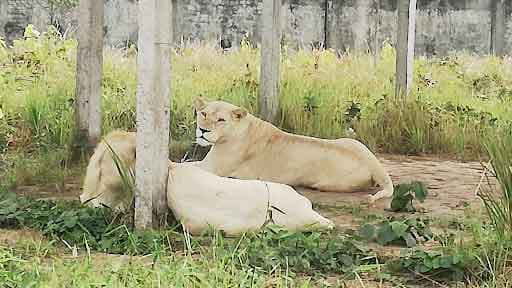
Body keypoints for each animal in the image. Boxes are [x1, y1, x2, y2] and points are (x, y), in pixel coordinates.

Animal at [194, 97, 394, 202]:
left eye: (221, 120)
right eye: (203, 114)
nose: (203, 130)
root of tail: (374, 164)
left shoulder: (213, 168)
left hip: (327, 183)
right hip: (352, 141)